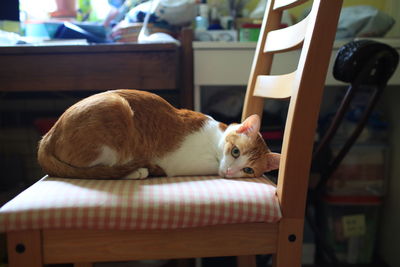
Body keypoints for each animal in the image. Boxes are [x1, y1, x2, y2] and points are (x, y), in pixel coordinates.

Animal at [38, 90, 282, 180]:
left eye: (248, 170)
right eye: (235, 151)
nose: (231, 171)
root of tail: (47, 137)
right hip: (116, 107)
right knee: (97, 171)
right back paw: (136, 172)